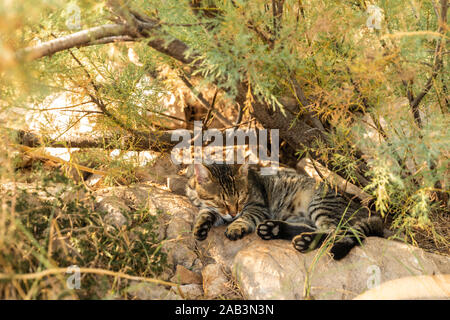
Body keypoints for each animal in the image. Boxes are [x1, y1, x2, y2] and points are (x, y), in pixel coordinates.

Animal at [186, 162, 384, 260]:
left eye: (241, 197)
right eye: (221, 201)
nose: (234, 213)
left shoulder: (258, 207)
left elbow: (246, 217)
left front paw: (236, 226)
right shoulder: (215, 210)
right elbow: (206, 213)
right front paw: (200, 226)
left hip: (320, 204)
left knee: (334, 231)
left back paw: (305, 241)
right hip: (303, 216)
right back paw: (275, 230)